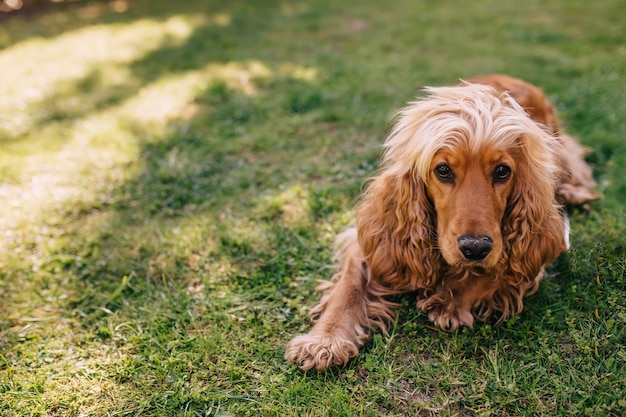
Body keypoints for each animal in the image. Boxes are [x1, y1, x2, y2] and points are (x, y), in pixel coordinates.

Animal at [282, 73, 596, 368]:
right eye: (443, 170)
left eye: (502, 171)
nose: (475, 247)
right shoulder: (374, 237)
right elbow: (348, 286)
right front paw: (324, 339)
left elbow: (497, 268)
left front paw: (451, 300)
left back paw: (575, 191)